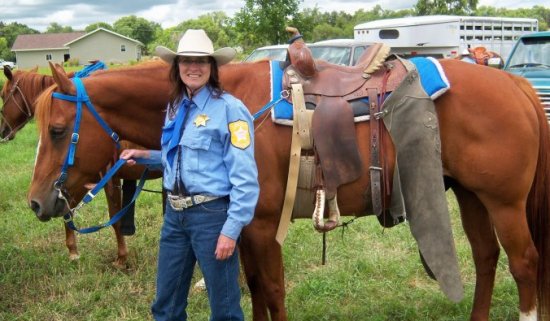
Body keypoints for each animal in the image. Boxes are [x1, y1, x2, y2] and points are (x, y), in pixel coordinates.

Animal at [0, 64, 162, 264]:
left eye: (3, 95)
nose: (3, 130)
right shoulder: (77, 180)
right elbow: (68, 211)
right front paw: (73, 250)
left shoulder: (104, 178)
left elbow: (113, 217)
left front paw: (121, 258)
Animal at [27, 58, 550, 320]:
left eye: (56, 130)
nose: (36, 201)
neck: (228, 100)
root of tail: (516, 84)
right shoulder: (243, 230)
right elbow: (257, 291)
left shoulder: (260, 228)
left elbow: (272, 292)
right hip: (469, 194)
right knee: (485, 258)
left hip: (504, 202)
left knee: (524, 264)